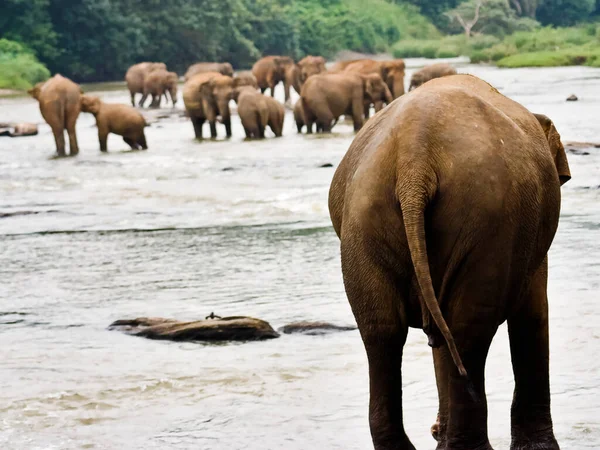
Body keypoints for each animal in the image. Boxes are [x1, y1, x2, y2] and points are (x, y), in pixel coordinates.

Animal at [326, 74, 568, 450]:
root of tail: (414, 155)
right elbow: (533, 312)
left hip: (364, 218)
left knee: (382, 330)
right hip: (489, 218)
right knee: (467, 327)